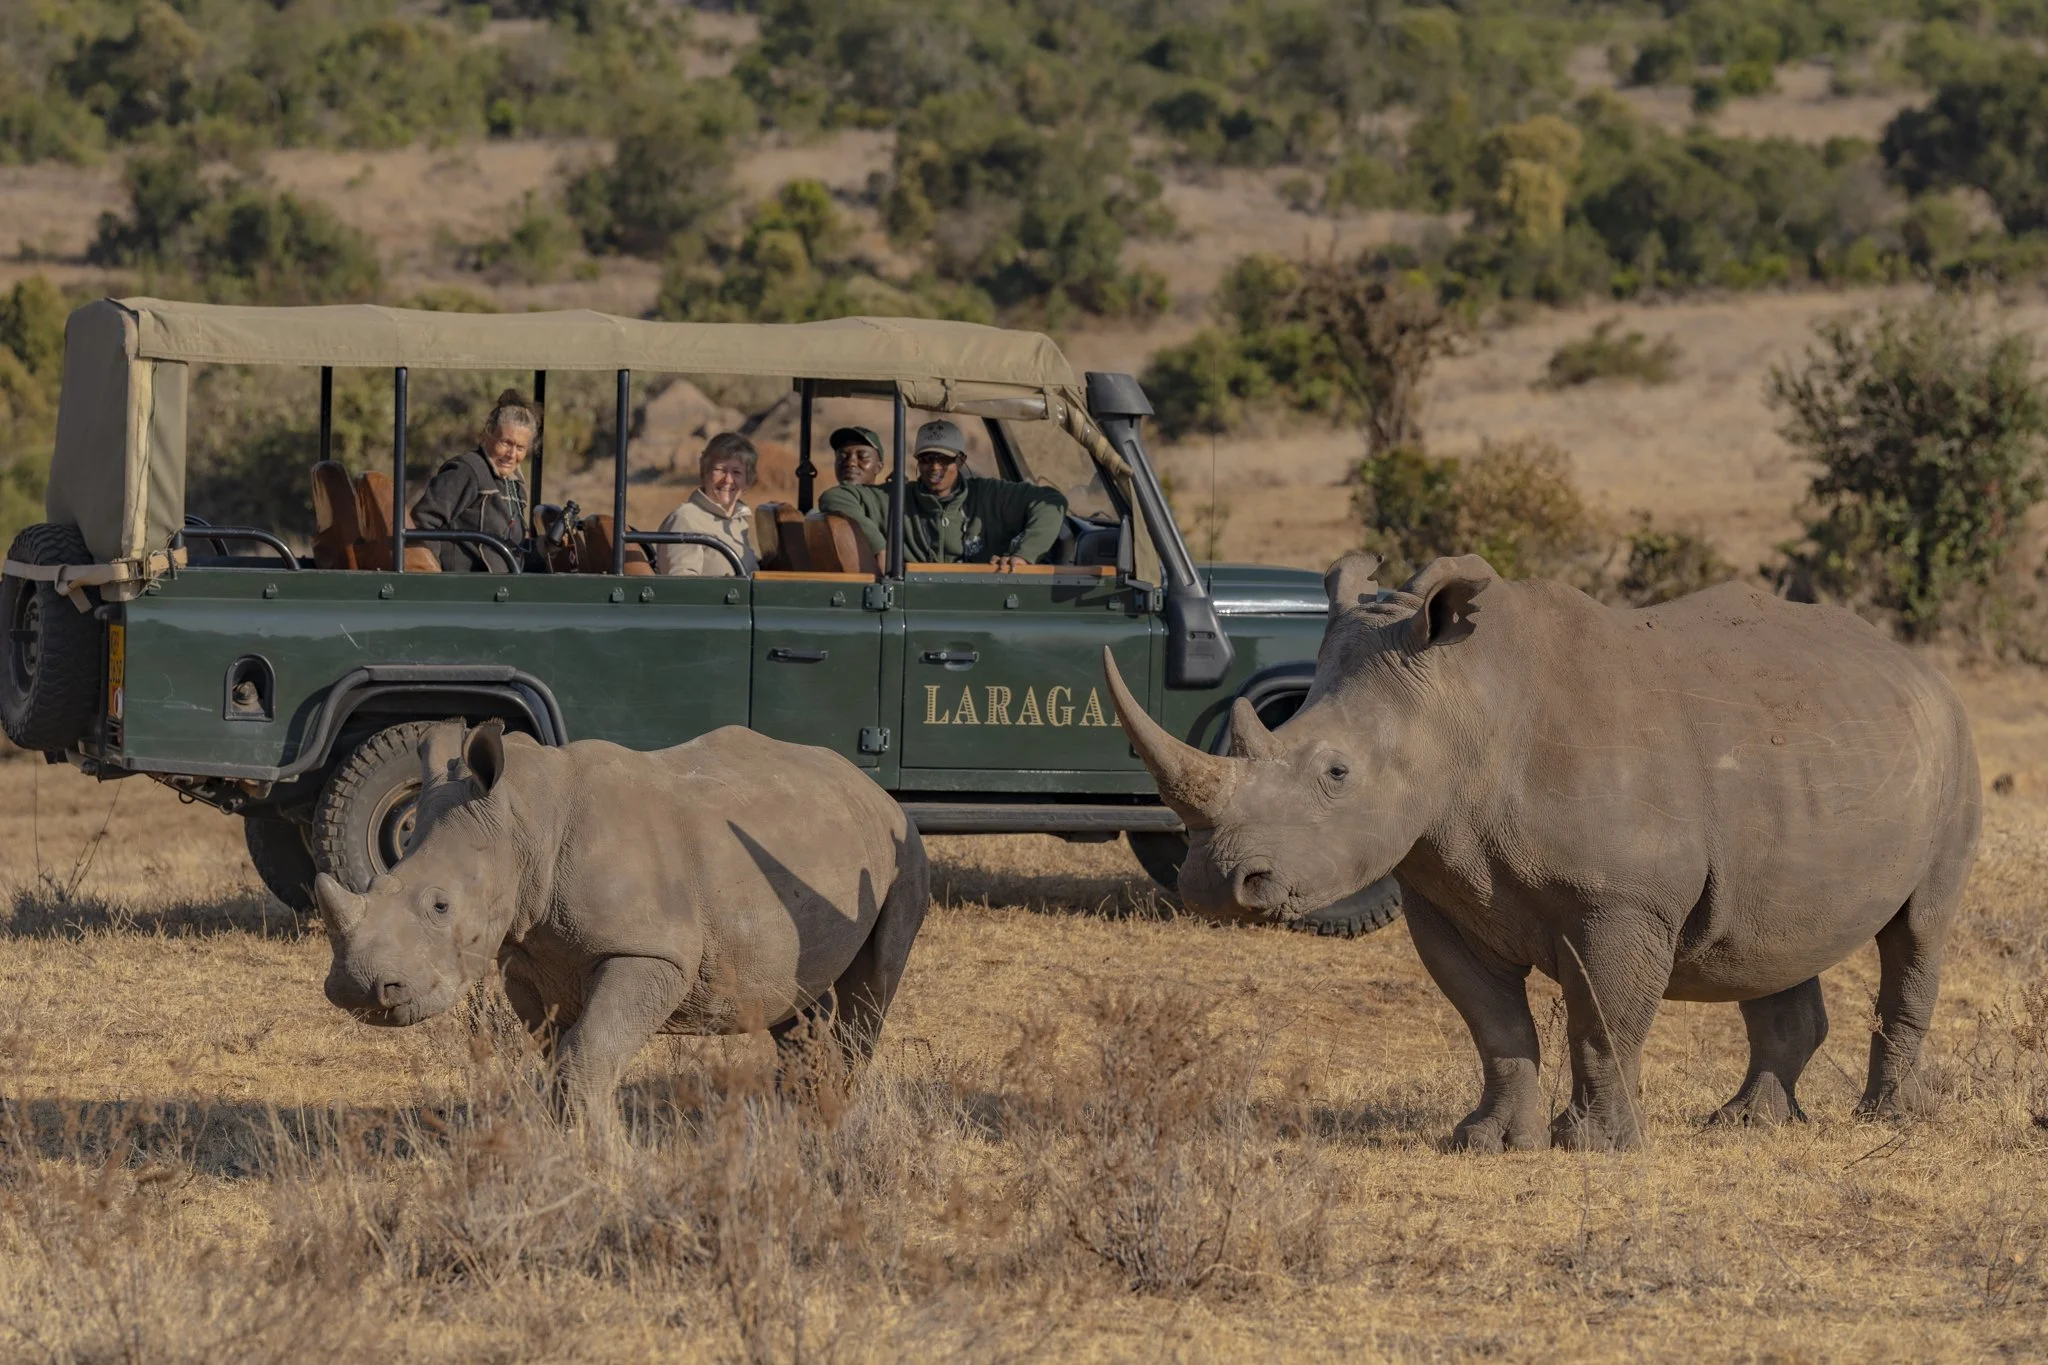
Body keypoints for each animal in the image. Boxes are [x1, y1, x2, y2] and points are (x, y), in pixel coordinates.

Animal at [316, 721, 929, 1125]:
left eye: (440, 906)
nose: (358, 991)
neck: (523, 822)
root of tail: (868, 785)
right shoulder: (528, 956)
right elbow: (561, 1052)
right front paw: (569, 1145)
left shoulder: (650, 951)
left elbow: (589, 1050)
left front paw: (606, 1158)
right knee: (791, 997)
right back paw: (790, 1121)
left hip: (899, 848)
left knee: (871, 989)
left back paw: (834, 1121)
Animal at [1105, 554, 1981, 1152]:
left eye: (1336, 773)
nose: (1215, 884)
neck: (1461, 703)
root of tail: (1916, 665)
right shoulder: (1442, 891)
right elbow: (1493, 1024)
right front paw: (1485, 1140)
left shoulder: (1622, 900)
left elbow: (1602, 1020)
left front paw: (1592, 1144)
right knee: (1768, 936)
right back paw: (1745, 1123)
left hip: (1952, 745)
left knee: (1919, 927)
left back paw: (1885, 1117)